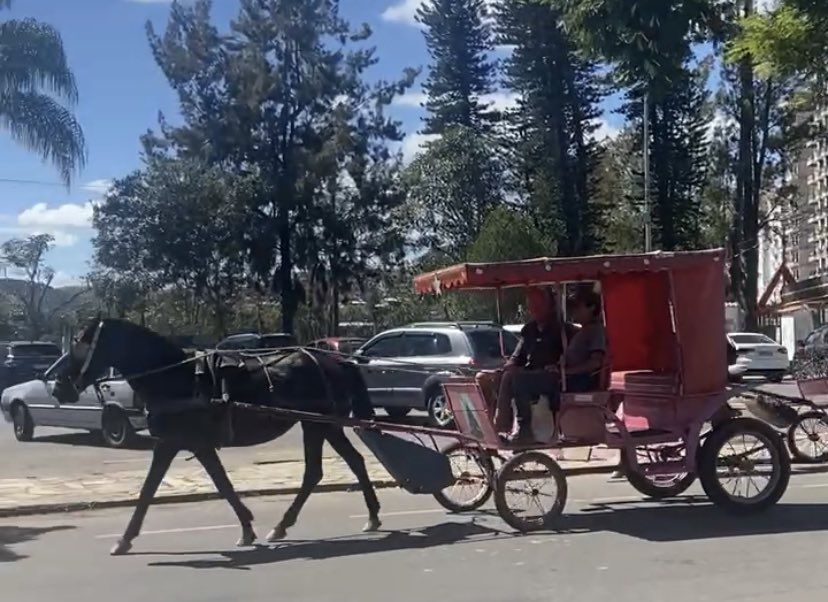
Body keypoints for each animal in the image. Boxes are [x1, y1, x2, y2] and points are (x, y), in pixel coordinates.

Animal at [53, 318, 384, 552]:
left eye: (82, 342)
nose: (57, 386)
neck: (174, 377)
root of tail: (336, 360)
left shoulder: (173, 442)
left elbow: (150, 489)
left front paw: (125, 538)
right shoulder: (193, 445)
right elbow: (220, 483)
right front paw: (247, 528)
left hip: (319, 424)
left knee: (322, 469)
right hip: (321, 425)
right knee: (343, 464)